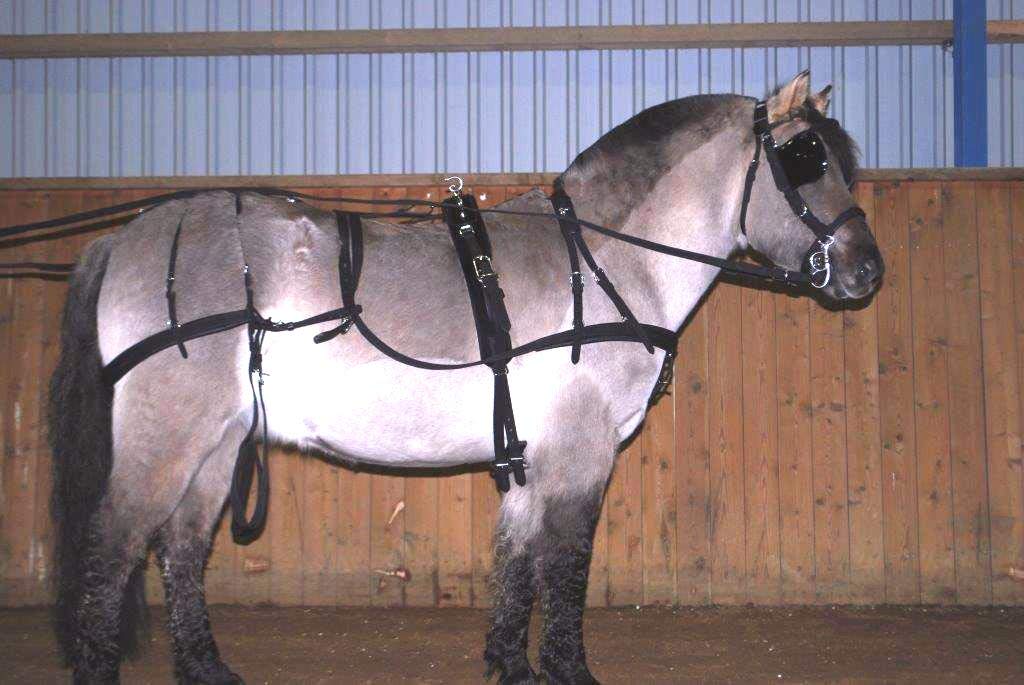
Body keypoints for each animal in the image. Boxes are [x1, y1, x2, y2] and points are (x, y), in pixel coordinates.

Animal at [47, 70, 882, 684]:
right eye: (806, 157)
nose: (868, 271)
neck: (603, 262)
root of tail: (123, 239)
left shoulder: (530, 456)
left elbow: (515, 562)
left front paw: (511, 666)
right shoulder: (580, 451)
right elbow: (567, 562)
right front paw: (569, 671)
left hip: (219, 443)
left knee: (182, 547)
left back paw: (209, 669)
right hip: (169, 437)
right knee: (113, 546)